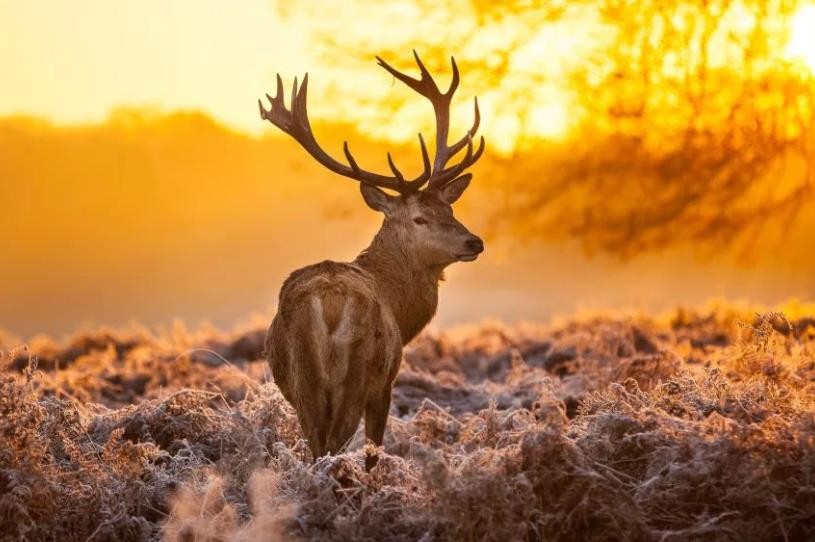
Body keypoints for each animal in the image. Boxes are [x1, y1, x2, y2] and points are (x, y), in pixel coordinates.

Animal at [260, 52, 484, 472]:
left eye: (450, 208)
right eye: (420, 218)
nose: (474, 241)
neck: (400, 308)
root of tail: (329, 301)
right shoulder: (386, 382)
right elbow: (373, 453)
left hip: (303, 382)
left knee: (317, 448)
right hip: (357, 375)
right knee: (333, 448)